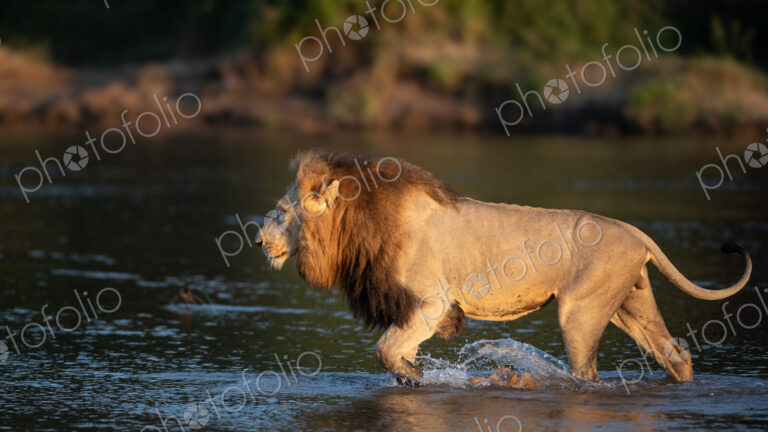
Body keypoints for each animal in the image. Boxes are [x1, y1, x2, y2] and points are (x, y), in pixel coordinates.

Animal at [255, 149, 752, 383]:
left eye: (280, 212)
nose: (258, 240)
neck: (356, 221)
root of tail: (636, 233)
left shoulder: (432, 303)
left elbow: (385, 350)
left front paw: (417, 376)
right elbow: (393, 351)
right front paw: (414, 373)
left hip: (580, 312)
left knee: (587, 373)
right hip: (631, 303)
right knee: (675, 353)